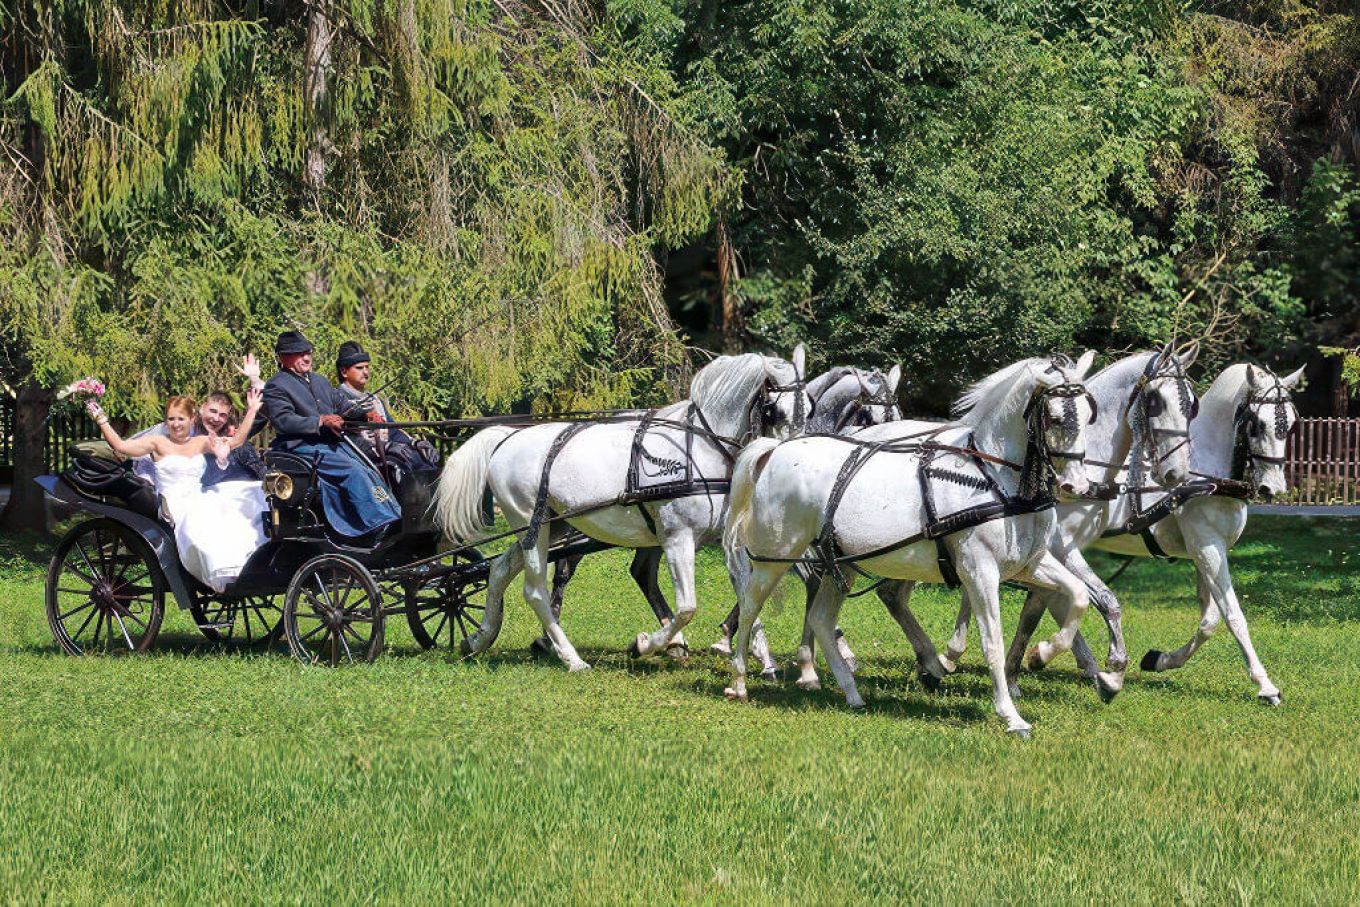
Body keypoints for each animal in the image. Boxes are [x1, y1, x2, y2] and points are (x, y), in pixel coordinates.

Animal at [435, 350, 810, 671]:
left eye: (808, 407)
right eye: (775, 411)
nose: (798, 459)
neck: (699, 449)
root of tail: (506, 439)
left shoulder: (727, 540)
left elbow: (749, 599)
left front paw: (763, 661)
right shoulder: (677, 537)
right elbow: (687, 608)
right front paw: (645, 645)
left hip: (549, 528)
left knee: (498, 570)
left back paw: (478, 639)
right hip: (533, 527)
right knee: (535, 590)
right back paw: (572, 658)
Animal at [728, 356, 1098, 739]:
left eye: (1089, 413)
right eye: (1054, 416)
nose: (1078, 486)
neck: (994, 477)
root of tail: (775, 450)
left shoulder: (1030, 563)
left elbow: (1079, 596)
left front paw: (1041, 654)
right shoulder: (980, 569)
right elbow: (992, 641)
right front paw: (1011, 716)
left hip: (839, 564)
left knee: (820, 619)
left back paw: (852, 692)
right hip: (776, 557)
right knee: (751, 605)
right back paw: (739, 681)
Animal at [1011, 358, 1305, 701]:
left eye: (1292, 423)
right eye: (1257, 423)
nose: (1274, 487)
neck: (1204, 477)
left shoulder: (1203, 552)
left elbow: (1209, 621)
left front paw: (1159, 660)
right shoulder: (1207, 546)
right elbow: (1233, 616)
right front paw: (1265, 684)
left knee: (1041, 600)